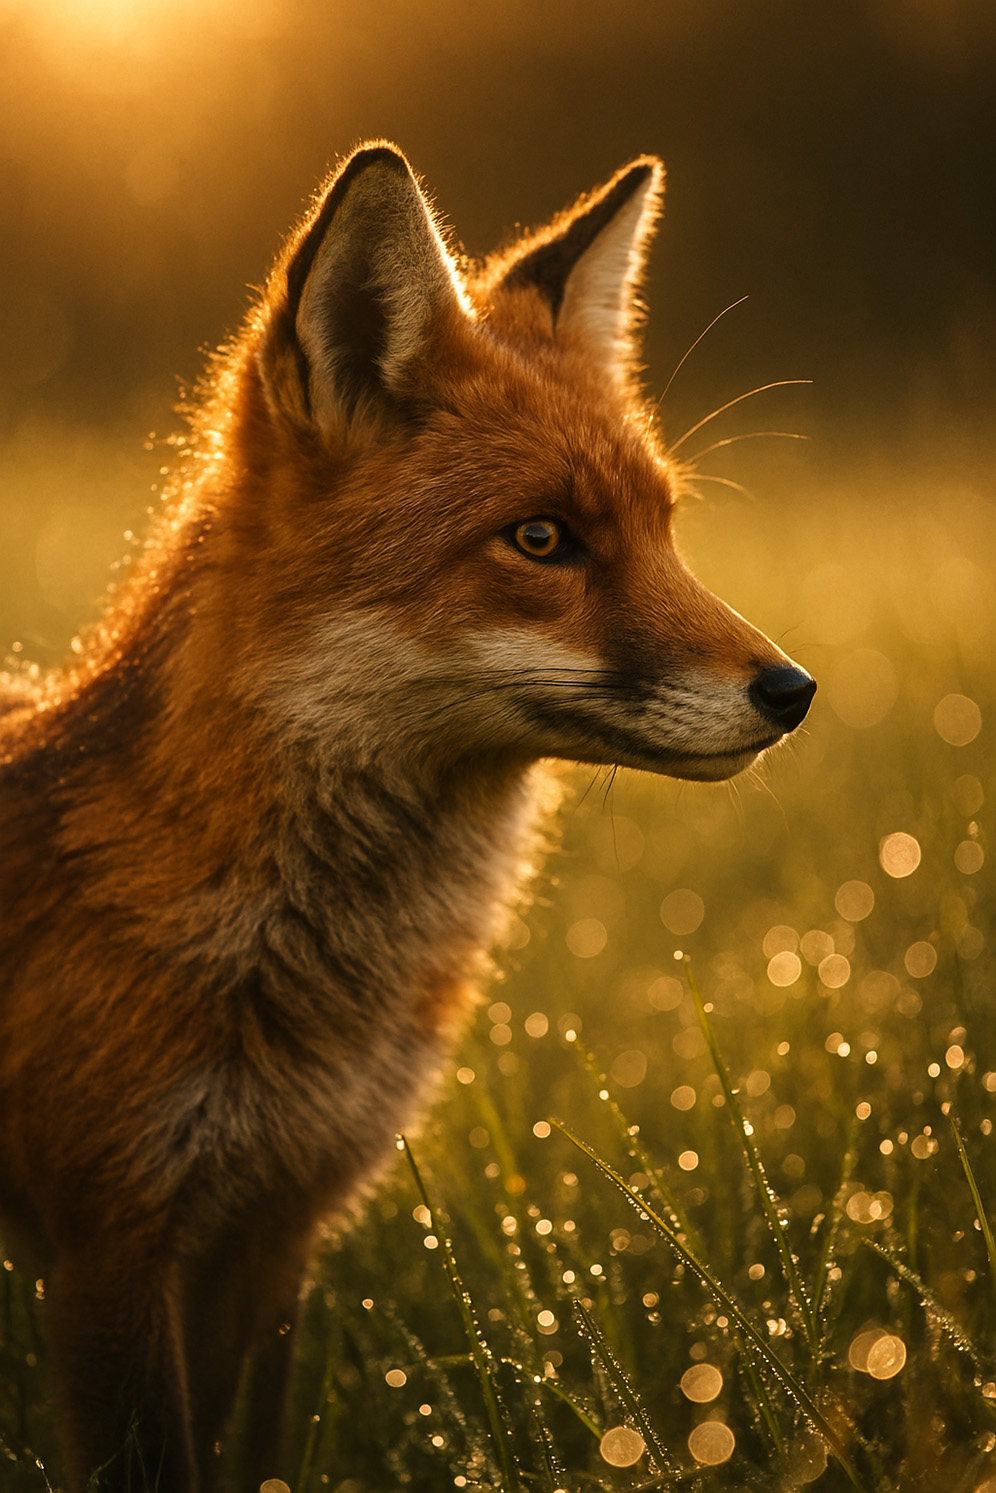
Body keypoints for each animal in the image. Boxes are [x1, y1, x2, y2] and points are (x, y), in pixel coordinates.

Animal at [0, 141, 814, 1491]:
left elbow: (248, 1451)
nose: (794, 691)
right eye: (541, 537)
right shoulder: (113, 1236)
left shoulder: (279, 1225)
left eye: (665, 529)